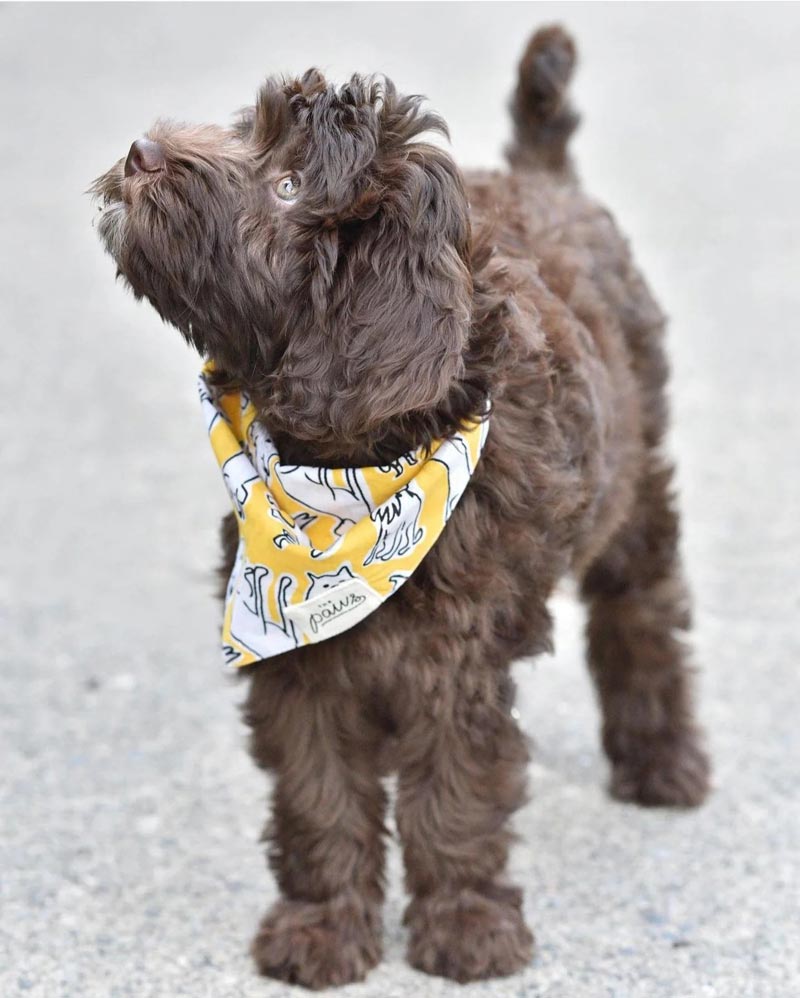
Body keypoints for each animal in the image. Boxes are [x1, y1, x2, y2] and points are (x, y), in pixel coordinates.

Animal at [90, 23, 708, 992]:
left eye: (289, 185)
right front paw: (321, 928)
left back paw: (663, 761)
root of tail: (544, 178)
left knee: (642, 616)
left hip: (635, 486)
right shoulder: (300, 669)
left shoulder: (457, 665)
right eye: (247, 129)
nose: (141, 151)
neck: (350, 473)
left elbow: (455, 794)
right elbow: (320, 798)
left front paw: (464, 925)